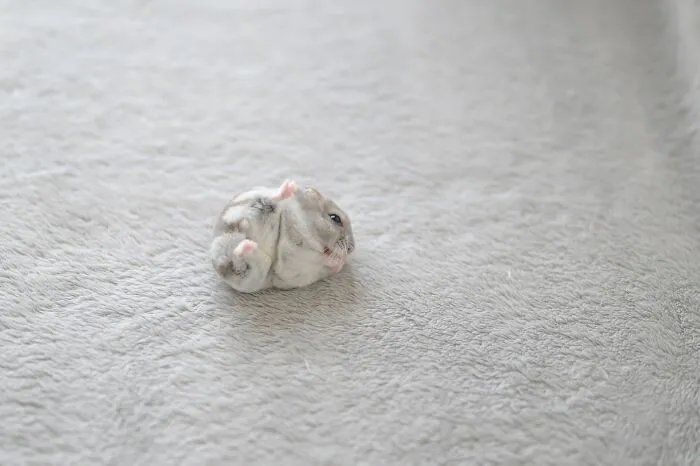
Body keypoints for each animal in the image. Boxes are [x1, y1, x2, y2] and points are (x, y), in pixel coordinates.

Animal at [210, 179, 356, 293]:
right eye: (335, 218)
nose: (351, 249)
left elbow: (330, 265)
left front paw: (337, 262)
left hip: (251, 276)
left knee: (247, 261)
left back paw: (247, 246)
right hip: (257, 205)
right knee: (274, 199)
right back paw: (289, 186)